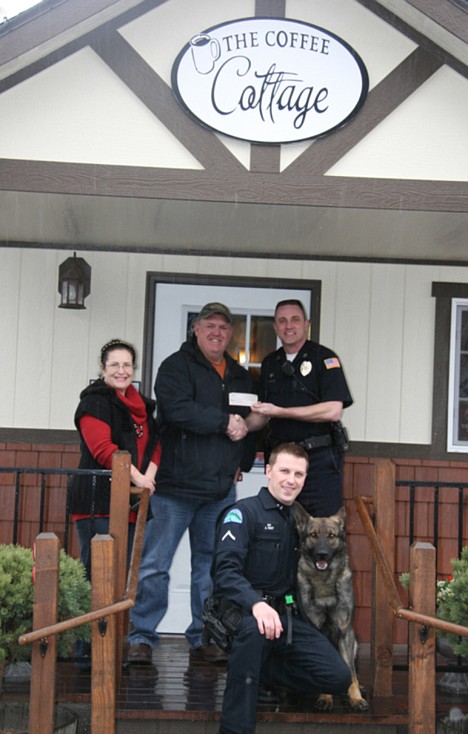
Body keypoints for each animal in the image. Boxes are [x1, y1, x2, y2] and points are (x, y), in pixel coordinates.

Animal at [292, 506, 370, 712]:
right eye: (313, 535)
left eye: (331, 536)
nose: (322, 554)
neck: (325, 581)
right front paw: (325, 697)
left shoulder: (345, 632)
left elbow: (350, 672)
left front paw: (356, 698)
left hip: (355, 644)